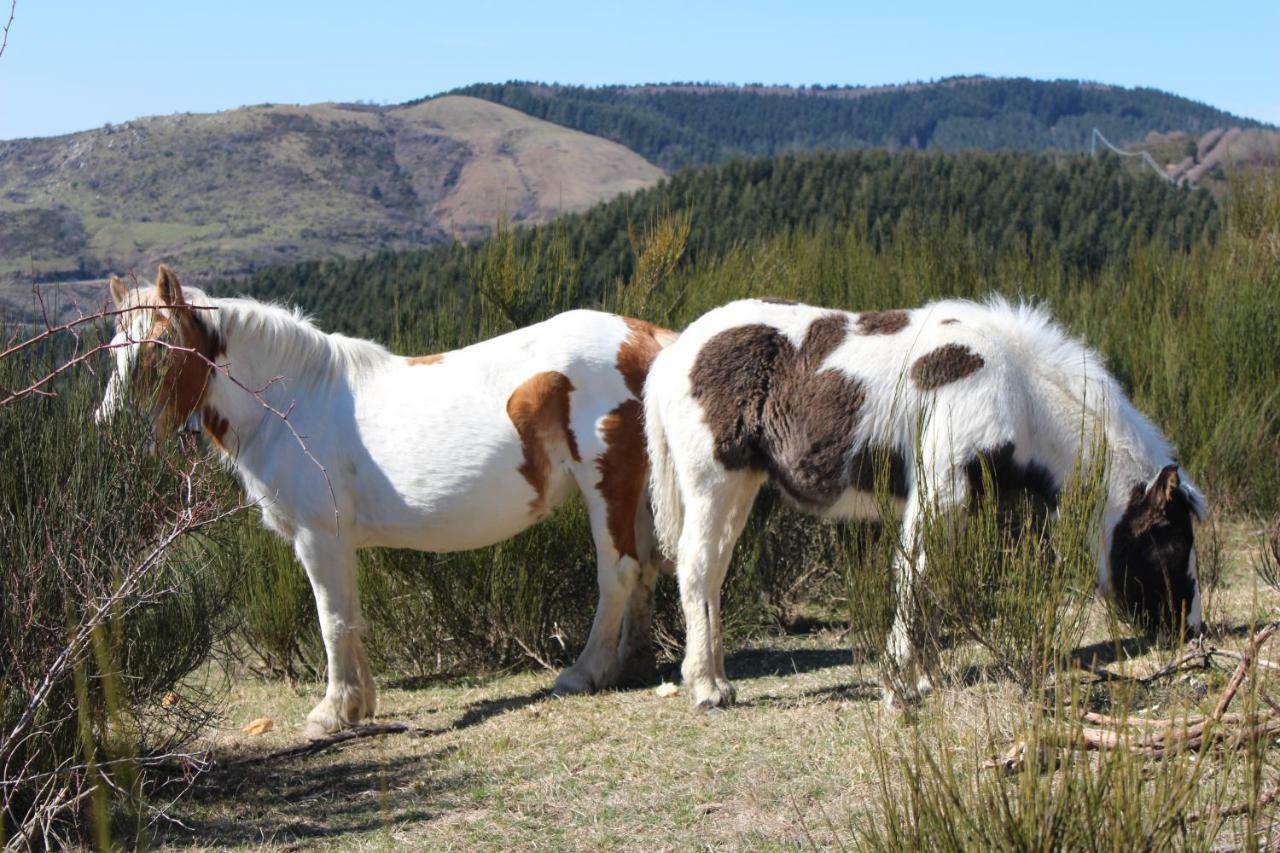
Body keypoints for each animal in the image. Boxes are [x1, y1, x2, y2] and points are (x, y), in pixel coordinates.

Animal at [98, 267, 675, 737]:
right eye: (113, 350)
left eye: (160, 347)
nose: (110, 434)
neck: (290, 405)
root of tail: (648, 339)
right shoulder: (337, 540)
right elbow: (349, 616)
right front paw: (359, 705)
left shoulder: (318, 537)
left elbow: (330, 620)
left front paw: (332, 713)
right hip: (636, 490)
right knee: (647, 567)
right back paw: (633, 665)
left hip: (607, 484)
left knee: (619, 572)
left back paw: (585, 672)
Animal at [645, 295, 1203, 706]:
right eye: (1173, 544)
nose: (1191, 633)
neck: (1017, 391)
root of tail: (675, 353)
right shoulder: (939, 489)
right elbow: (914, 575)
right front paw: (898, 685)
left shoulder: (960, 503)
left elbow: (933, 580)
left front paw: (922, 677)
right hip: (713, 482)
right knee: (697, 569)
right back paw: (706, 688)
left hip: (739, 486)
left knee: (713, 571)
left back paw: (718, 680)